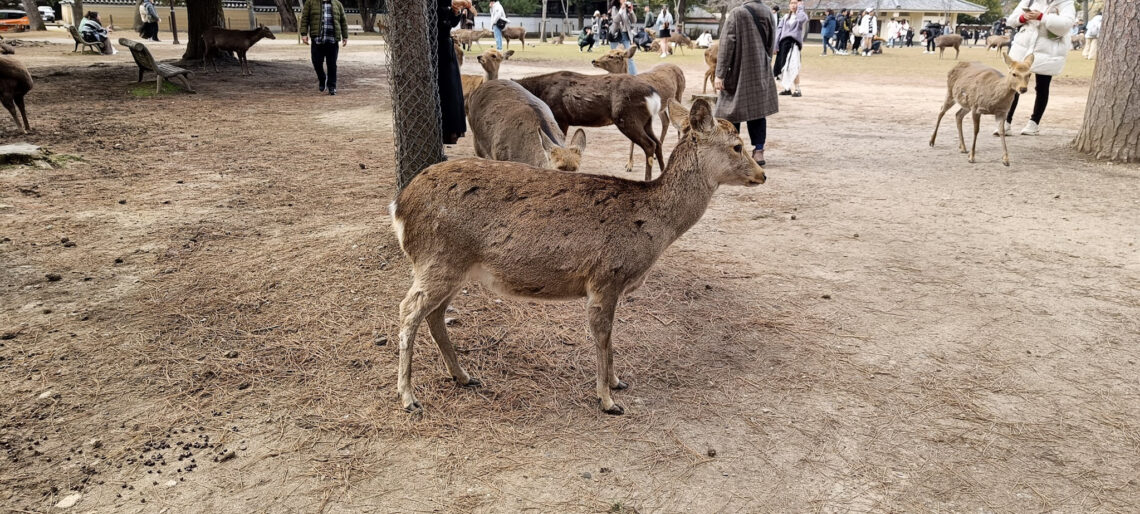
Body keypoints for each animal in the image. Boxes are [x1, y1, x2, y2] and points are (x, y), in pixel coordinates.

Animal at [389, 98, 765, 416]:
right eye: (737, 145)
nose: (761, 174)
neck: (654, 226)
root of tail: (399, 206)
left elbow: (609, 337)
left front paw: (617, 382)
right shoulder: (606, 276)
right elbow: (603, 336)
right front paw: (608, 400)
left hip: (453, 267)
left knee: (434, 315)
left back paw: (464, 376)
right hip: (438, 259)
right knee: (408, 310)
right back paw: (408, 398)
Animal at [514, 70, 664, 180]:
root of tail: (654, 96)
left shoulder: (560, 117)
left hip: (627, 117)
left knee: (650, 144)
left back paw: (647, 179)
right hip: (646, 121)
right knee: (658, 142)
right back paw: (662, 172)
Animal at [591, 46, 686, 177]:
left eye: (612, 56)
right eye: (607, 51)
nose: (594, 60)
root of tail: (678, 67)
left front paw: (629, 165)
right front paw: (628, 163)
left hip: (679, 93)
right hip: (662, 106)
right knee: (665, 121)